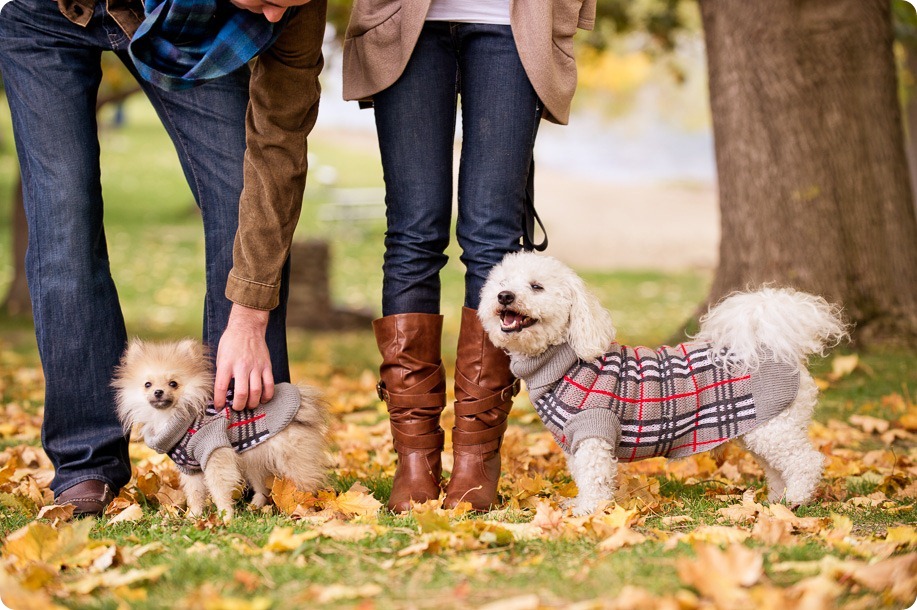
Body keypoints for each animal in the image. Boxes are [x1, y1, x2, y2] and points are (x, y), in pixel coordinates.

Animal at [480, 251, 844, 512]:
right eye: (502, 282)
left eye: (536, 286)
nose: (504, 296)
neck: (565, 360)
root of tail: (771, 345)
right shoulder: (574, 441)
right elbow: (583, 477)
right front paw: (580, 504)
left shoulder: (593, 431)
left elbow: (594, 478)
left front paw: (589, 512)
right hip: (763, 429)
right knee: (777, 468)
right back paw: (777, 501)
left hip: (775, 428)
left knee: (806, 462)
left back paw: (796, 499)